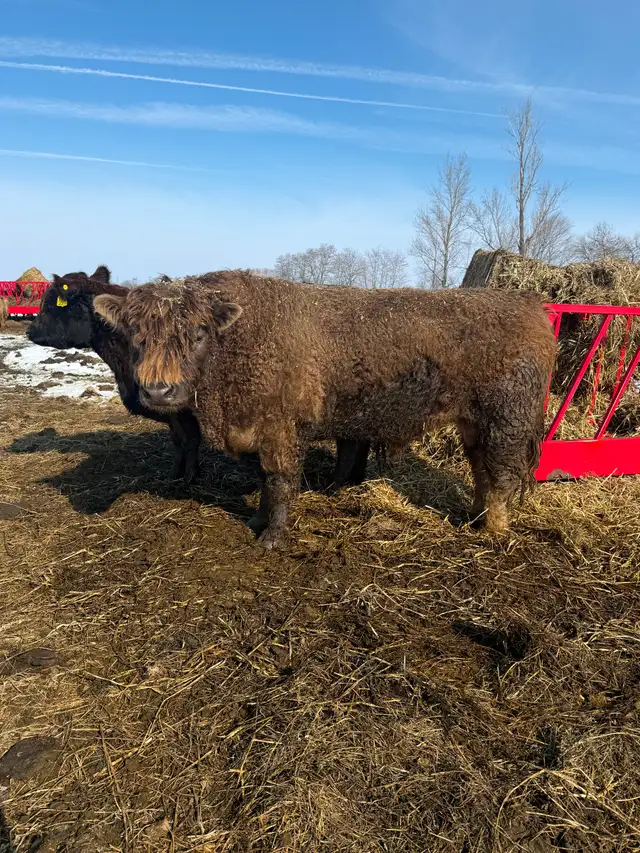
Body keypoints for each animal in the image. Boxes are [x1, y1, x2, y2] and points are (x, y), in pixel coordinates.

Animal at [93, 271, 557, 548]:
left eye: (199, 333)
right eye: (134, 333)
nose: (159, 391)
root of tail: (530, 303)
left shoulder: (280, 430)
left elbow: (279, 481)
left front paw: (272, 536)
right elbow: (264, 480)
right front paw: (258, 521)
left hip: (506, 422)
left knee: (500, 476)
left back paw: (493, 531)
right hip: (474, 423)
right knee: (481, 469)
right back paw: (474, 518)